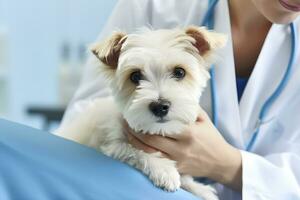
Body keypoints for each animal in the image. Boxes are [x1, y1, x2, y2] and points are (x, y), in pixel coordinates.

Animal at [55, 26, 226, 200]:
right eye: (135, 76)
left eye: (179, 72)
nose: (160, 106)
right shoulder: (113, 146)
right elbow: (135, 150)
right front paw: (165, 170)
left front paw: (199, 188)